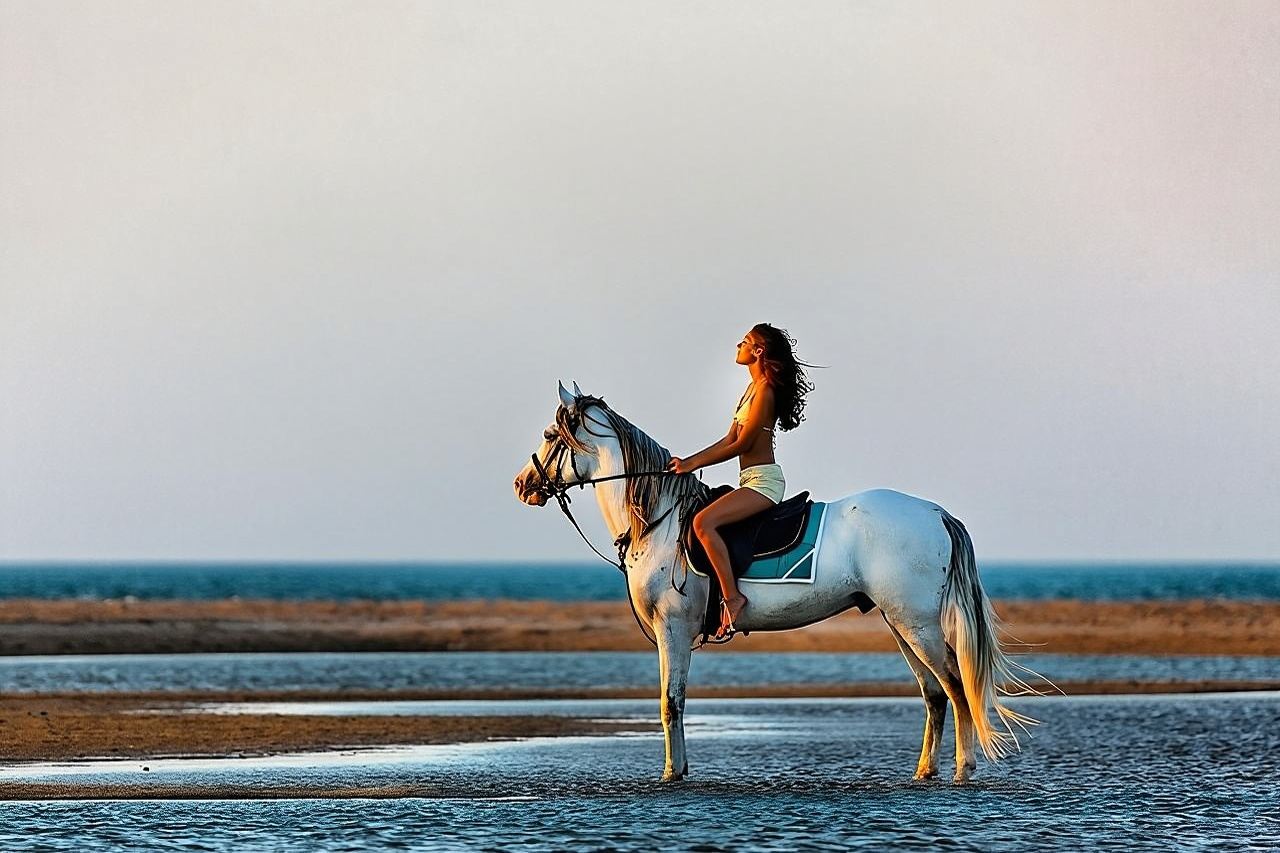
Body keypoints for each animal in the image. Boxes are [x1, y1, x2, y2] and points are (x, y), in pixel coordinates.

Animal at [513, 382, 1044, 784]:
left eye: (549, 434)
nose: (522, 485)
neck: (659, 520)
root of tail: (934, 512)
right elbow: (673, 702)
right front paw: (677, 770)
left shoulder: (673, 627)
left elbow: (670, 702)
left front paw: (671, 774)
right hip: (902, 625)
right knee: (934, 694)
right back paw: (923, 772)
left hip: (918, 624)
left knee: (955, 686)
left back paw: (962, 769)